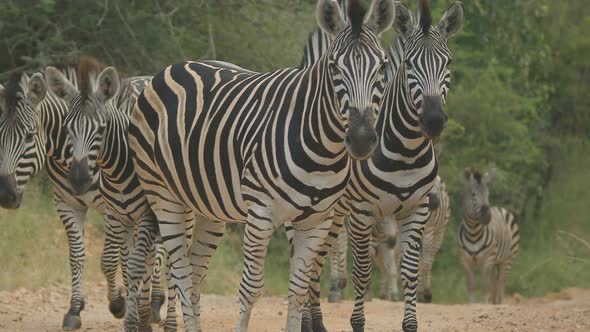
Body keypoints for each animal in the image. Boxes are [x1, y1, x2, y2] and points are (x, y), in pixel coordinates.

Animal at [0, 68, 165, 330]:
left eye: (29, 136)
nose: (5, 197)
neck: (67, 155)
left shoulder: (109, 208)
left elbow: (108, 260)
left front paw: (118, 303)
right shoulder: (67, 205)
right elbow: (77, 256)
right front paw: (75, 309)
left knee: (158, 250)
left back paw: (156, 304)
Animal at [130, 1, 398, 330]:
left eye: (382, 66)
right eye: (334, 67)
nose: (360, 139)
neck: (321, 147)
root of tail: (172, 67)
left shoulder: (318, 220)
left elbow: (298, 289)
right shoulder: (261, 212)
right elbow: (251, 288)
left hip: (207, 206)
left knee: (194, 273)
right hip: (162, 194)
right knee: (180, 270)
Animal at [298, 1, 464, 330]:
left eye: (448, 62)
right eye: (410, 65)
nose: (434, 121)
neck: (406, 152)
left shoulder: (416, 210)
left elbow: (409, 269)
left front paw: (410, 322)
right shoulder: (362, 211)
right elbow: (362, 272)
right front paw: (358, 322)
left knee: (316, 260)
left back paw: (316, 322)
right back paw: (309, 321)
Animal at [460, 167, 520, 304]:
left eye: (487, 194)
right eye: (473, 194)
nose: (487, 216)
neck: (473, 233)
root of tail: (500, 208)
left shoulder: (488, 260)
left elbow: (484, 286)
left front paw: (484, 304)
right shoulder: (465, 261)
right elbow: (471, 286)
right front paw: (473, 304)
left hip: (507, 259)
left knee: (502, 282)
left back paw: (500, 303)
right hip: (494, 263)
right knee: (495, 283)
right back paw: (494, 302)